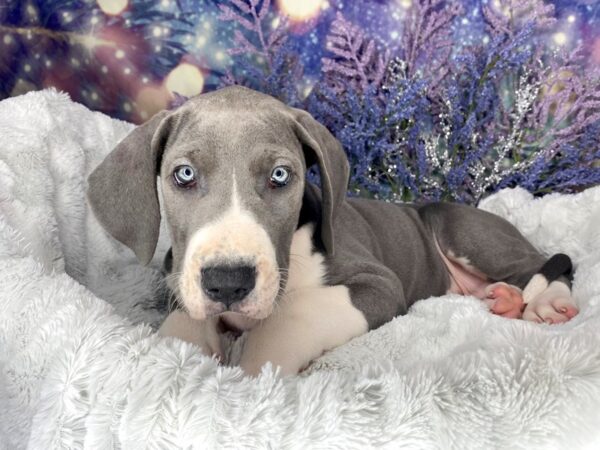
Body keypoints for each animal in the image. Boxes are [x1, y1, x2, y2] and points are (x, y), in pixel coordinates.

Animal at [86, 84, 580, 376]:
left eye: (280, 176)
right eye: (184, 175)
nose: (228, 282)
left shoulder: (377, 282)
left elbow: (294, 316)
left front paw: (254, 368)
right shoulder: (180, 282)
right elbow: (184, 320)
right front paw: (181, 353)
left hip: (464, 230)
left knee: (546, 261)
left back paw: (547, 301)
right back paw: (503, 298)